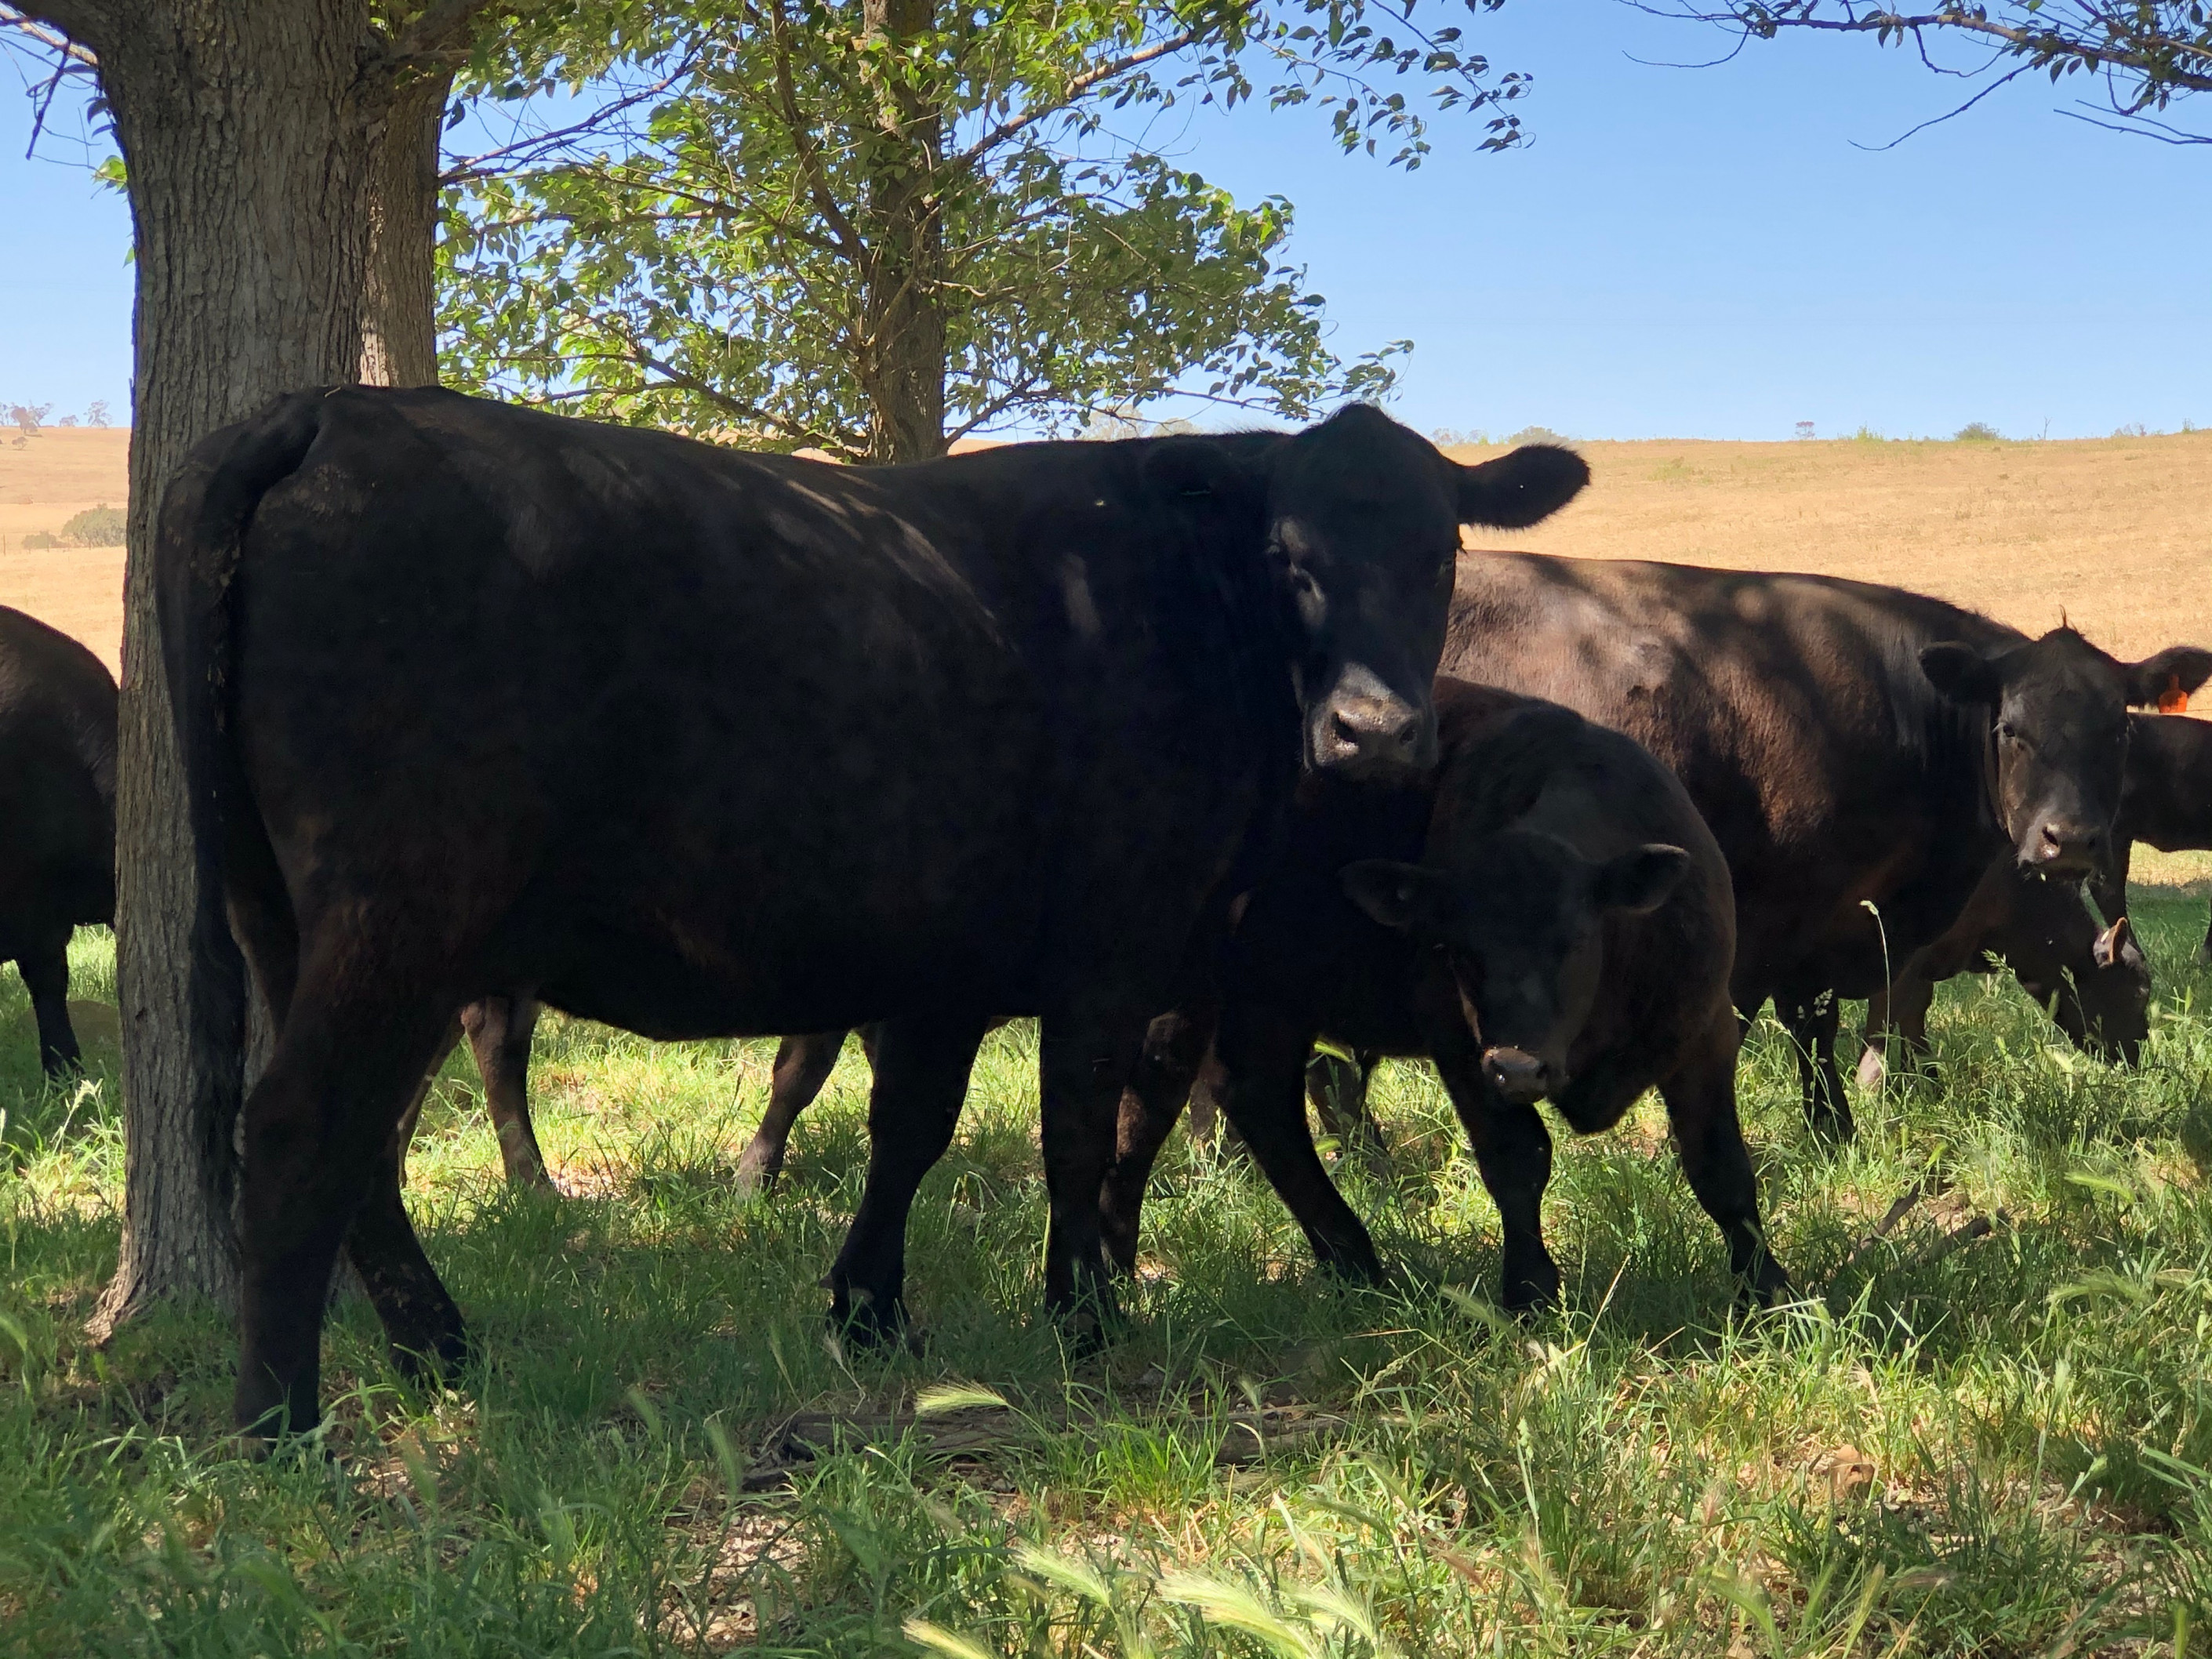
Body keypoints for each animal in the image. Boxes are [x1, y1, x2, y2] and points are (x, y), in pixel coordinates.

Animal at [158, 385, 1586, 1438]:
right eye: (1291, 560)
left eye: (1441, 551)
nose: (1376, 731)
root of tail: (335, 411)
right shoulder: (1111, 943)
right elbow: (1075, 1132)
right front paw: (1082, 1319)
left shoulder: (948, 956)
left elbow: (911, 1127)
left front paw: (867, 1308)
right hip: (400, 913)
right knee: (300, 1128)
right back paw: (279, 1423)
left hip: (293, 918)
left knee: (354, 1143)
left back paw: (437, 1346)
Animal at [1097, 680, 1789, 1311]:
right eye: (1458, 951)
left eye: (1576, 938)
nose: (1517, 1066)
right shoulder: (1459, 1044)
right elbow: (1515, 1160)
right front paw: (1529, 1292)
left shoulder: (1704, 1028)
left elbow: (1719, 1166)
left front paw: (1769, 1290)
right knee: (1145, 1112)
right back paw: (1112, 1274)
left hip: (1263, 1000)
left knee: (1256, 1100)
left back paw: (1354, 1265)